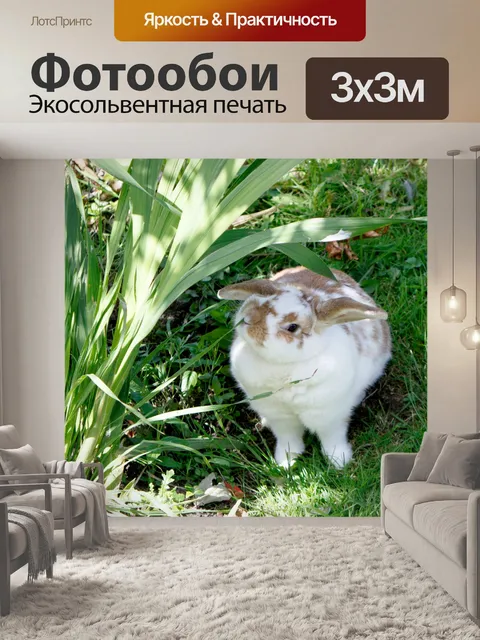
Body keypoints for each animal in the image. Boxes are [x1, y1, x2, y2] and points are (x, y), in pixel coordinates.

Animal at [217, 266, 391, 469]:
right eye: (259, 301)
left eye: (292, 327)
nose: (248, 318)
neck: (283, 367)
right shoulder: (279, 416)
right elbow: (288, 438)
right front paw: (286, 462)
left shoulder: (329, 415)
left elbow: (332, 437)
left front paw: (339, 461)